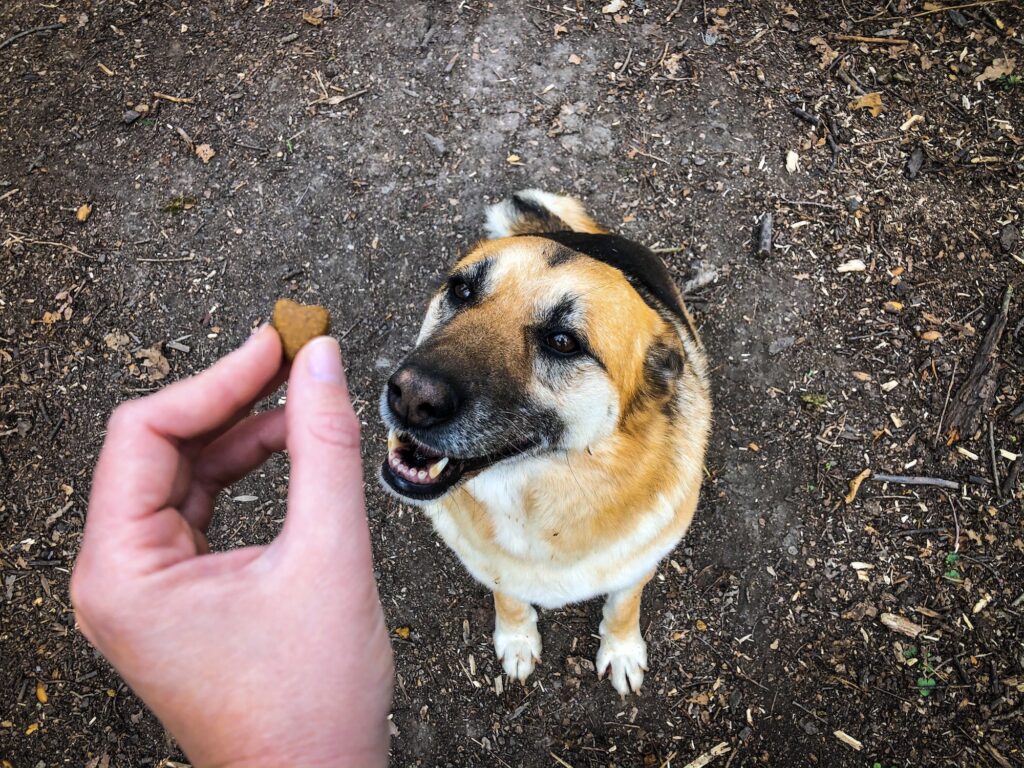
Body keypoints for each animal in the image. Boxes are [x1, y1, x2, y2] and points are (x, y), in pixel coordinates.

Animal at [378, 191, 712, 696]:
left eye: (562, 341)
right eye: (462, 291)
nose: (411, 398)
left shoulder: (637, 566)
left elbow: (622, 606)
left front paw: (621, 649)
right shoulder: (494, 566)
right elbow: (510, 598)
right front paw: (517, 639)